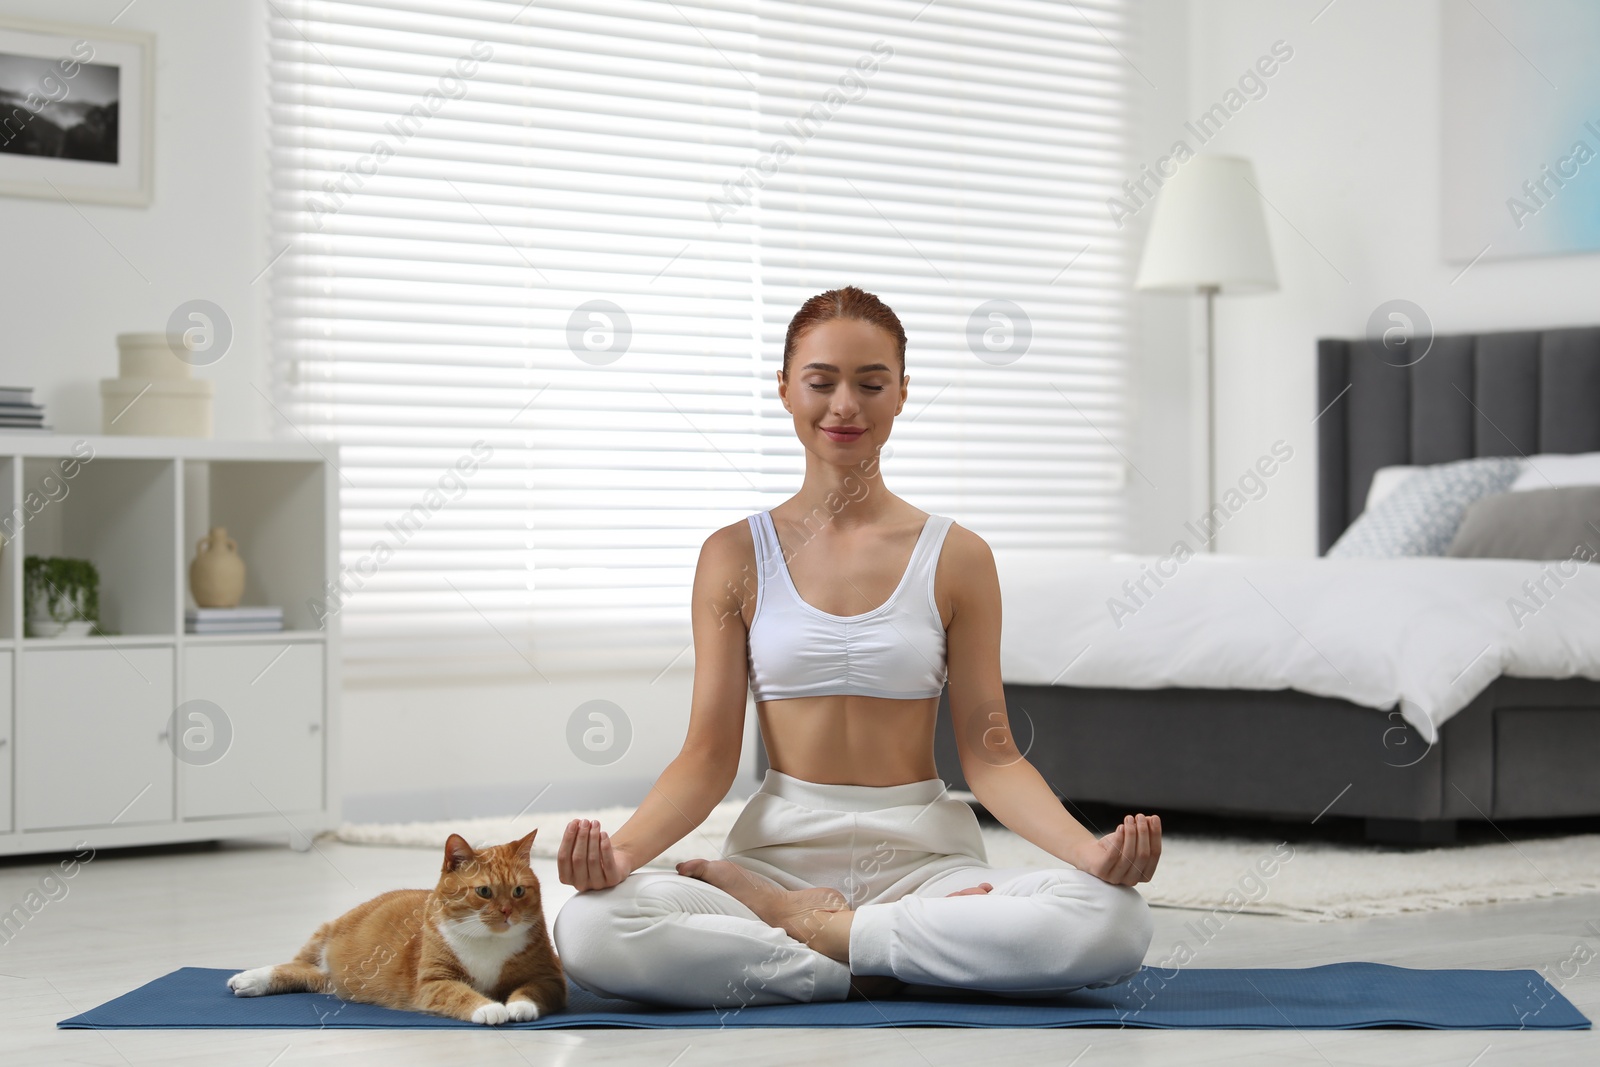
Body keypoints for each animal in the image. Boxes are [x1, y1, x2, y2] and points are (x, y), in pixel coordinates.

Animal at [228, 831, 566, 1023]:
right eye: (484, 891)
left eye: (519, 891)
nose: (507, 911)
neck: (488, 942)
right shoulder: (433, 981)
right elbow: (459, 993)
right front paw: (490, 1009)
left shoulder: (549, 977)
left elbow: (531, 990)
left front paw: (518, 1006)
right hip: (324, 936)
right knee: (294, 964)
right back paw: (250, 978)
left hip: (334, 979)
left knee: (306, 973)